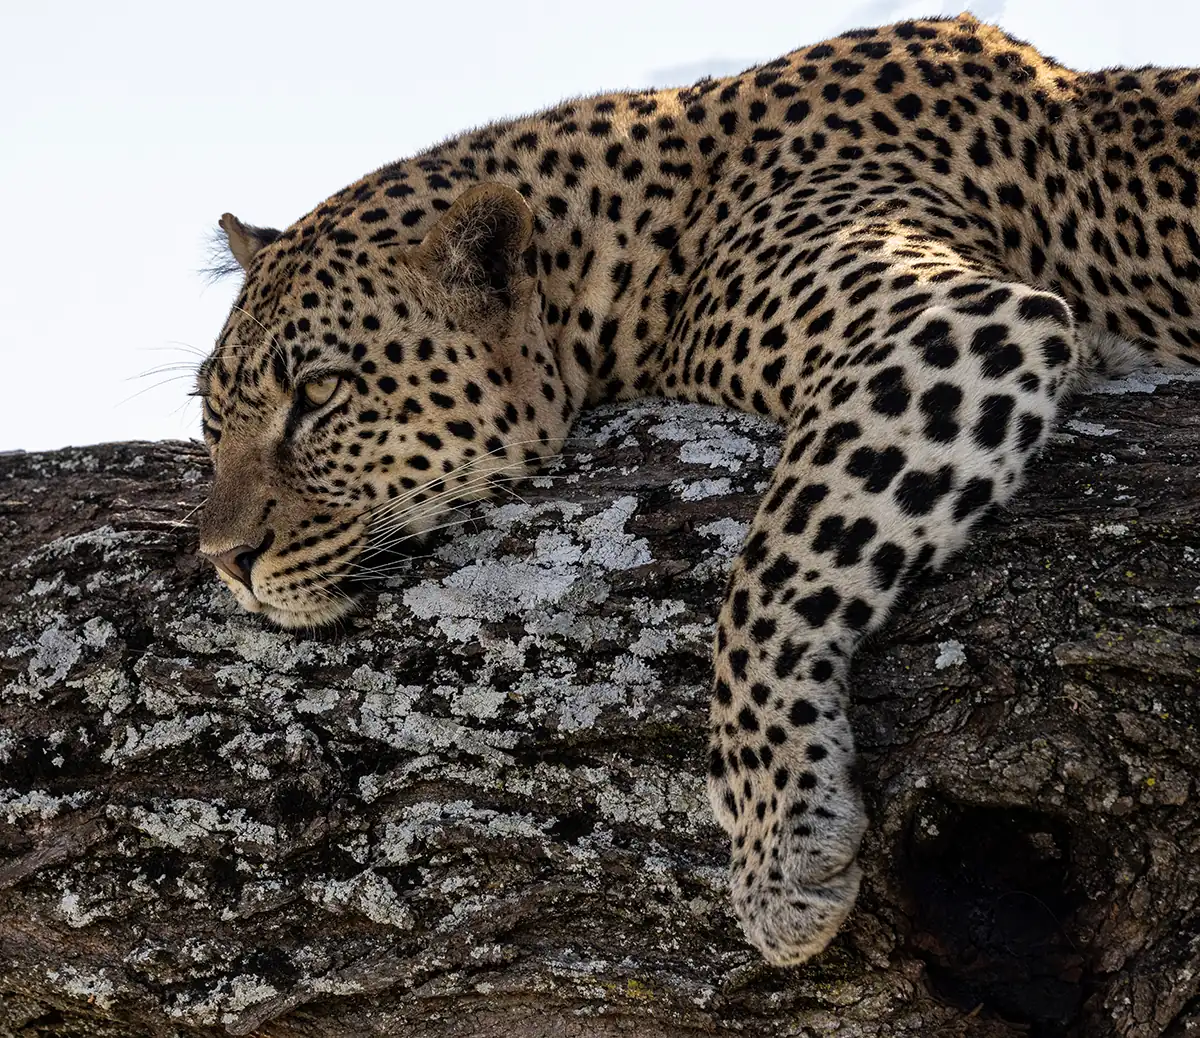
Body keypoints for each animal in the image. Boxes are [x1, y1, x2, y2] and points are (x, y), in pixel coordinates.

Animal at [195, 12, 1200, 966]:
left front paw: (779, 840)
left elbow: (774, 568)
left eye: (318, 395)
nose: (224, 560)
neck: (631, 241)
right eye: (212, 418)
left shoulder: (955, 325)